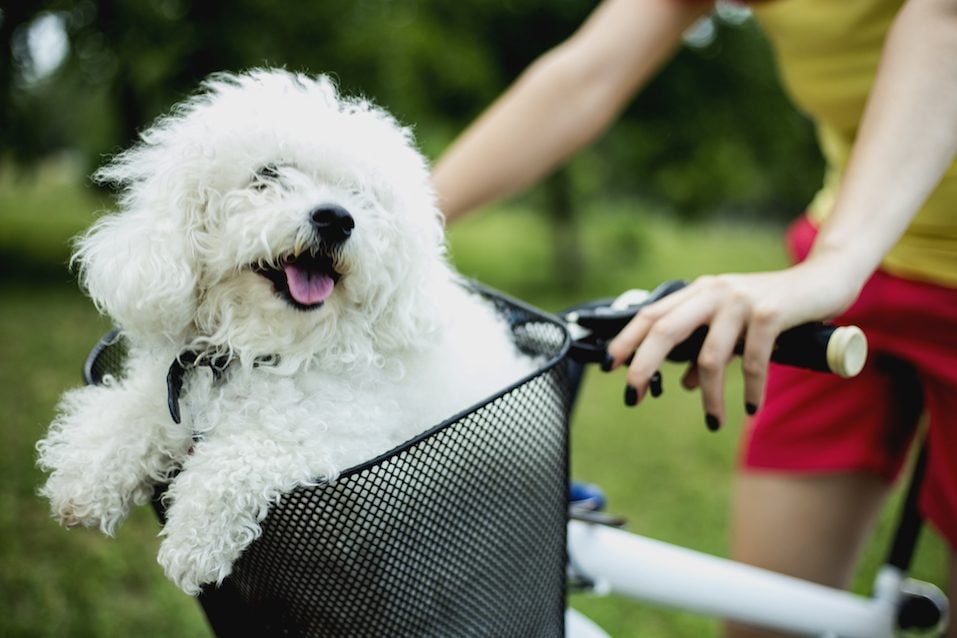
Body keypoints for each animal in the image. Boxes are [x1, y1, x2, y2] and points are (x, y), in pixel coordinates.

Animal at [37, 71, 536, 600]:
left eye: (359, 195)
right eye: (268, 174)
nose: (336, 218)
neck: (261, 349)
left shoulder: (344, 445)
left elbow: (244, 453)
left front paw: (193, 540)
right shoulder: (173, 387)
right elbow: (131, 411)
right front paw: (87, 475)